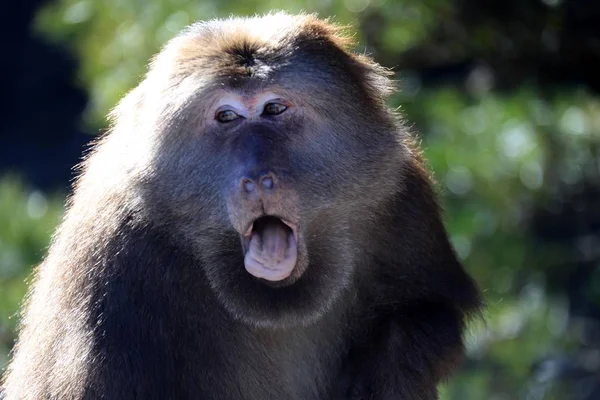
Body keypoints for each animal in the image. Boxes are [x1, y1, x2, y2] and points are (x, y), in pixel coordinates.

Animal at [0, 12, 478, 400]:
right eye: (226, 116)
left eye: (274, 108)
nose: (257, 178)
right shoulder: (112, 263)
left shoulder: (397, 193)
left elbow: (431, 312)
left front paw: (380, 370)